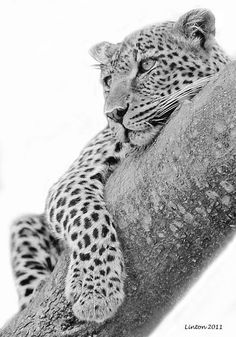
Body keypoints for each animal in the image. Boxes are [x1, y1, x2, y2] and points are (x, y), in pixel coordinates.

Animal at [10, 8, 230, 322]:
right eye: (107, 81)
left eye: (148, 65)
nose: (114, 113)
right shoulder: (73, 177)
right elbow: (87, 217)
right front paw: (95, 290)